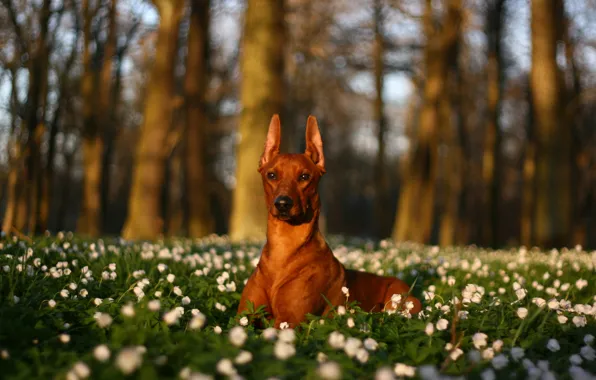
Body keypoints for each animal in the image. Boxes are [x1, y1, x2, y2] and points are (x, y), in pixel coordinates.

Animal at [235, 114, 422, 328]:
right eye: (271, 175)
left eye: (304, 176)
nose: (282, 203)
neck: (284, 246)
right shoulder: (243, 316)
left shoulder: (289, 320)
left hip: (397, 300)